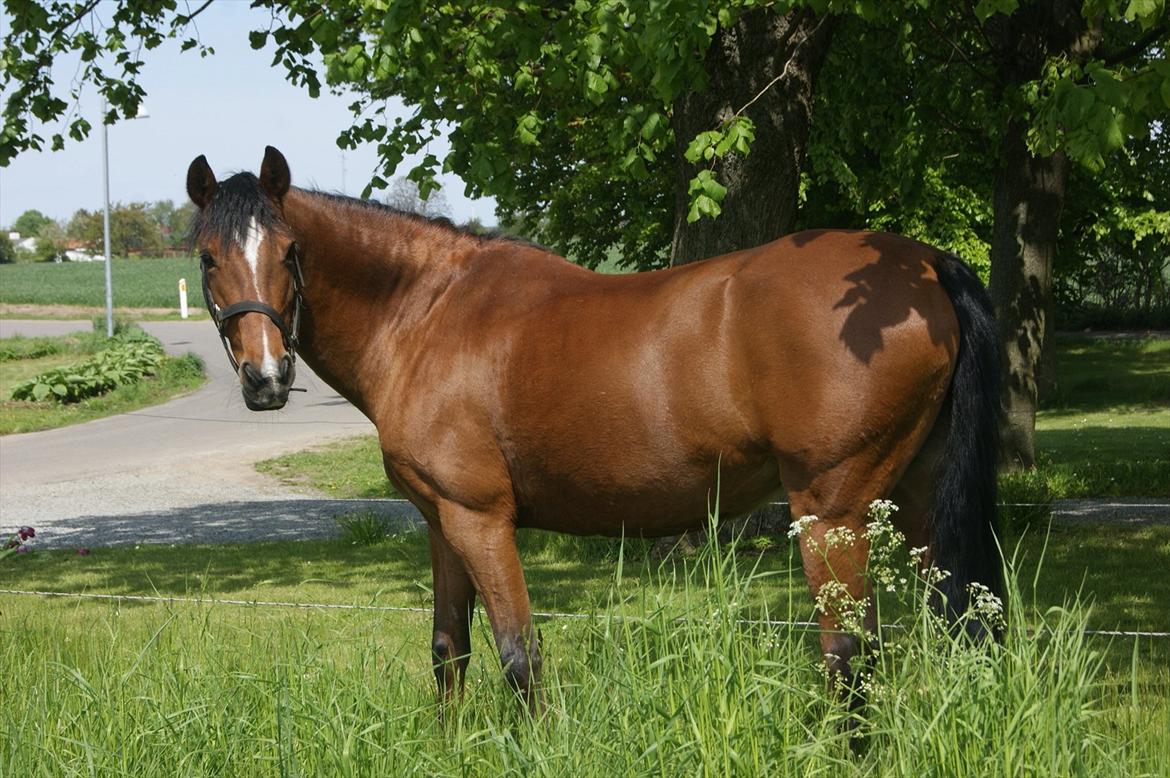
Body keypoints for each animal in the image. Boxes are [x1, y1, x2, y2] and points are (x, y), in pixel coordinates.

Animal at [187, 145, 1001, 711]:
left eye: (290, 251)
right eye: (207, 257)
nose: (266, 378)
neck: (426, 311)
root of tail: (927, 267)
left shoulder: (481, 520)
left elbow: (519, 656)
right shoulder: (441, 523)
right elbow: (449, 651)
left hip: (832, 515)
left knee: (849, 657)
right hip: (919, 504)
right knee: (965, 626)